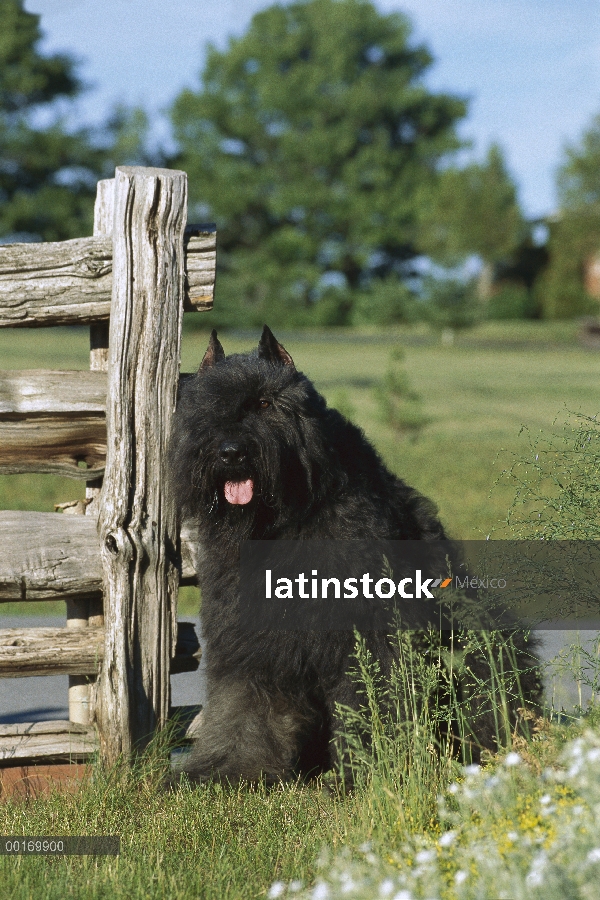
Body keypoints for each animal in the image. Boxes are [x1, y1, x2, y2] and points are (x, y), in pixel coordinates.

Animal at [169, 326, 540, 784]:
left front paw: (366, 768)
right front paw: (229, 768)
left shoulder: (366, 635)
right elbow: (243, 703)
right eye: (205, 408)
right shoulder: (248, 636)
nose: (230, 452)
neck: (288, 516)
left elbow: (368, 700)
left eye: (265, 403)